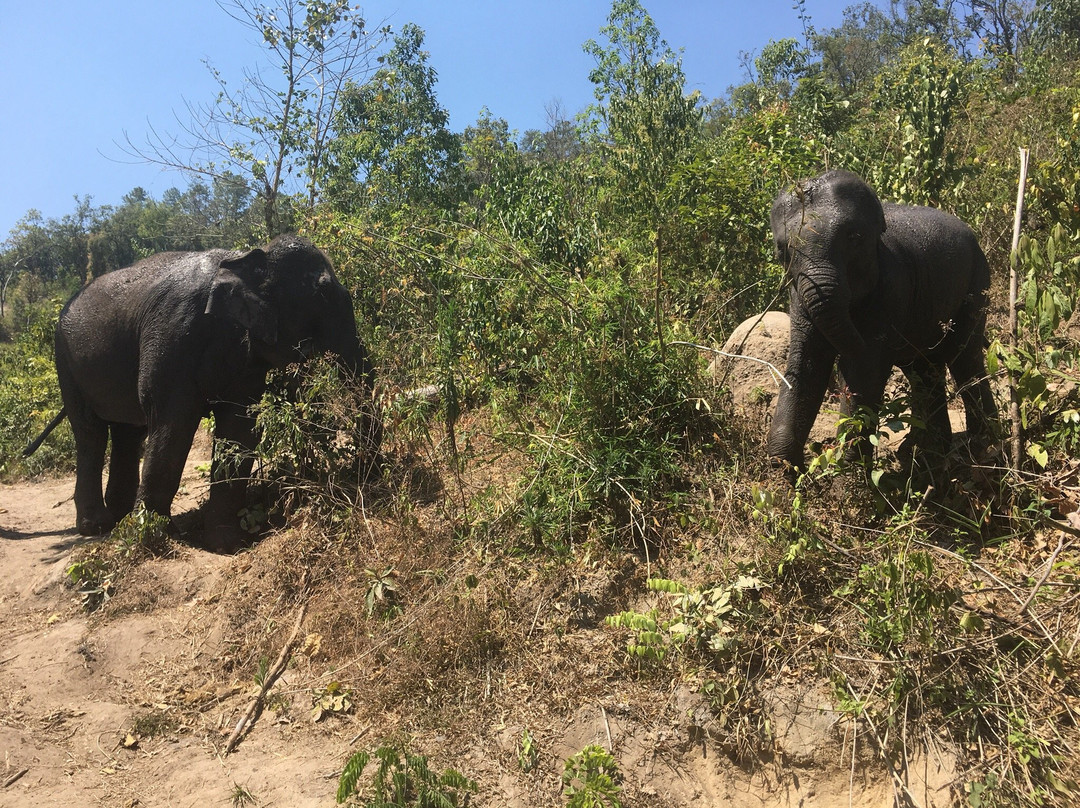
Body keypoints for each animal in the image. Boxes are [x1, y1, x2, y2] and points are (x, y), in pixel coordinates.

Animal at [26, 233, 380, 548]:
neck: (245, 257)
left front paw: (227, 543)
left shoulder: (245, 359)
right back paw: (98, 526)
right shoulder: (171, 336)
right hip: (66, 362)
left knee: (128, 433)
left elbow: (238, 428)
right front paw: (158, 536)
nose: (364, 475)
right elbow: (173, 423)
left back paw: (119, 518)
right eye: (322, 293)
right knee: (91, 434)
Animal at [768, 171, 993, 473]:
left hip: (977, 282)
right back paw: (925, 453)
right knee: (924, 369)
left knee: (964, 357)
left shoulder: (892, 287)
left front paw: (848, 474)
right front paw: (783, 473)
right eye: (782, 251)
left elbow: (866, 370)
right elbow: (805, 365)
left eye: (854, 237)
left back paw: (983, 447)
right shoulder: (799, 295)